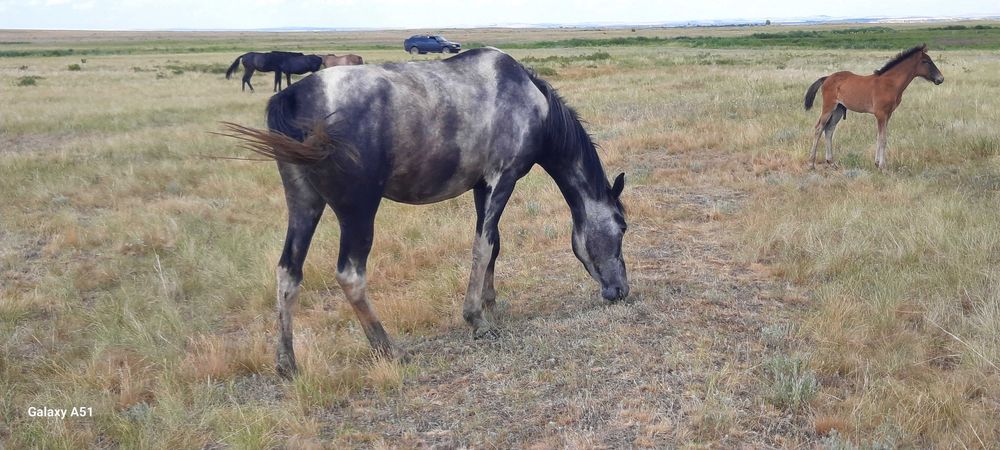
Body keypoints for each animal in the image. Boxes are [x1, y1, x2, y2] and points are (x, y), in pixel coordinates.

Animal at [221, 47, 629, 377]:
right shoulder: (502, 179)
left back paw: (286, 363)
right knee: (350, 275)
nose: (621, 290)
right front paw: (477, 318)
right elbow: (483, 246)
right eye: (622, 226)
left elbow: (493, 244)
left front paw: (490, 303)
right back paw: (387, 349)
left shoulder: (482, 186)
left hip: (304, 204)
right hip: (358, 212)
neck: (532, 103)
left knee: (288, 272)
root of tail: (295, 97)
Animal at [804, 44, 944, 169]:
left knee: (829, 130)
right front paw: (882, 166)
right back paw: (811, 164)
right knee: (819, 128)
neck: (890, 83)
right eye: (926, 61)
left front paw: (877, 163)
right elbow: (883, 139)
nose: (940, 79)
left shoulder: (888, 114)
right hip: (829, 107)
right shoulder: (881, 114)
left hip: (838, 109)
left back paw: (831, 162)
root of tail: (827, 78)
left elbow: (879, 136)